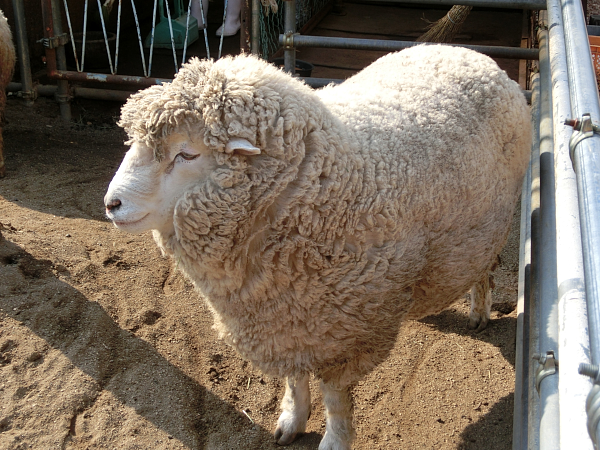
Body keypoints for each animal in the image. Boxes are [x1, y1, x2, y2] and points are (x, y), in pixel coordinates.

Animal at [105, 46, 532, 450]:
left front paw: (335, 438)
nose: (111, 204)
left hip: (494, 220)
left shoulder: (346, 333)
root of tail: (470, 54)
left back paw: (479, 310)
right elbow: (295, 380)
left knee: (485, 266)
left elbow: (336, 396)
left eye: (187, 153)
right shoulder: (288, 319)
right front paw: (292, 420)